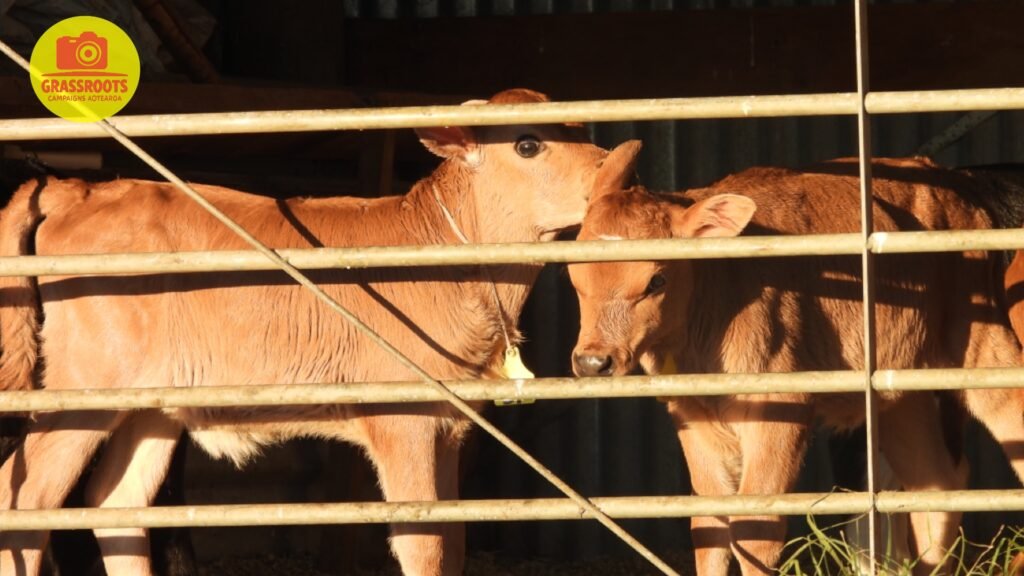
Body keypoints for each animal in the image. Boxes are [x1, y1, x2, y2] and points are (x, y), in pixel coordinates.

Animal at [0, 87, 642, 576]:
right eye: (528, 143)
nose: (617, 171)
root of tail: (81, 189)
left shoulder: (452, 425)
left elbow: (454, 540)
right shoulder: (403, 420)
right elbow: (423, 543)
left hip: (151, 403)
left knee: (119, 502)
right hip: (83, 383)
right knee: (27, 498)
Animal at [567, 157, 1024, 576]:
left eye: (656, 280)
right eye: (574, 272)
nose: (593, 361)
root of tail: (950, 182)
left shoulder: (780, 409)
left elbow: (755, 528)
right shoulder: (693, 419)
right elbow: (709, 527)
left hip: (984, 348)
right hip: (900, 392)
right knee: (936, 483)